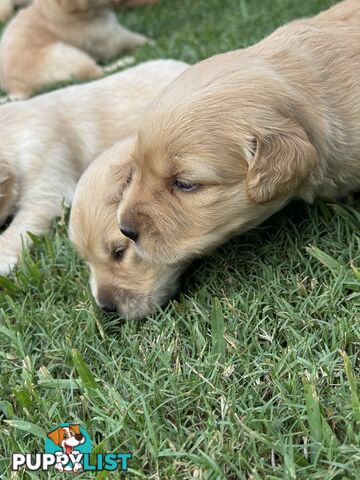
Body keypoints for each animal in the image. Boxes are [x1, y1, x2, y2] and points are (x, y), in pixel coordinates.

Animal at [0, 0, 149, 98]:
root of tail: (16, 88)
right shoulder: (111, 37)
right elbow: (135, 39)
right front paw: (150, 43)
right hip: (68, 55)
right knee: (99, 72)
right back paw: (128, 60)